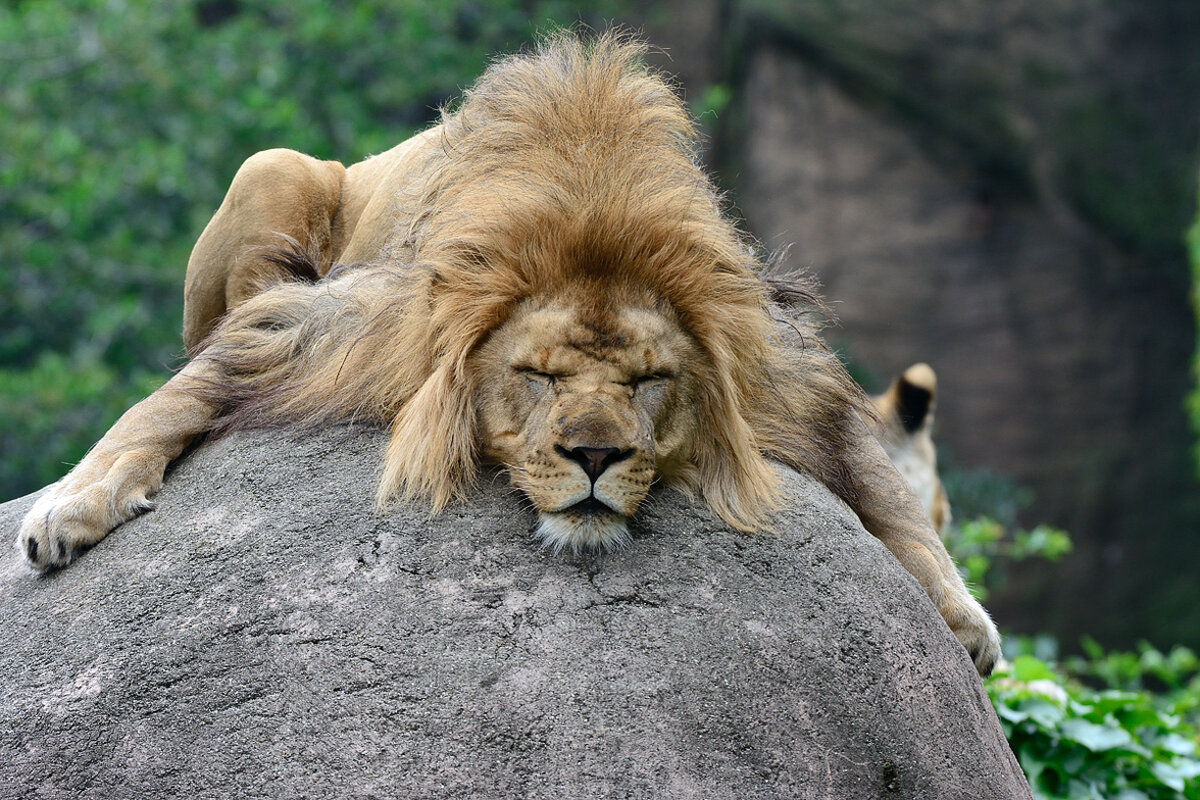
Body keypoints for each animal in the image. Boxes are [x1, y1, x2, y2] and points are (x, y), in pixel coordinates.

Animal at [14, 35, 998, 676]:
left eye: (650, 383)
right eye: (537, 378)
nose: (595, 456)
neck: (592, 223)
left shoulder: (770, 363)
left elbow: (877, 478)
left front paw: (961, 616)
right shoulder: (342, 328)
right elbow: (175, 396)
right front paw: (76, 502)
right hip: (274, 164)